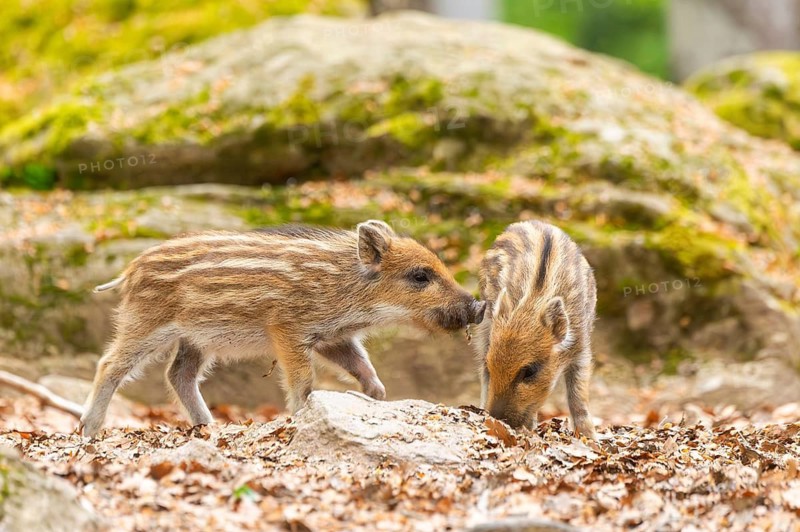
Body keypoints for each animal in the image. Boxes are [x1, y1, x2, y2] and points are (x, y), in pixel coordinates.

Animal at [80, 220, 486, 437]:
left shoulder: (333, 337)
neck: (342, 287)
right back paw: (89, 429)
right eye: (419, 276)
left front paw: (375, 396)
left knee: (179, 375)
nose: (479, 306)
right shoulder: (287, 329)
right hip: (147, 322)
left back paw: (209, 426)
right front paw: (299, 416)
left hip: (194, 339)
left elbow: (364, 369)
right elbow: (304, 382)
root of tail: (130, 270)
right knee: (110, 364)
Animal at [473, 220, 596, 438]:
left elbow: (578, 397)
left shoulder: (582, 349)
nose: (496, 419)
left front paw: (589, 437)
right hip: (485, 326)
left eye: (530, 371)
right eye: (491, 364)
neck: (535, 300)